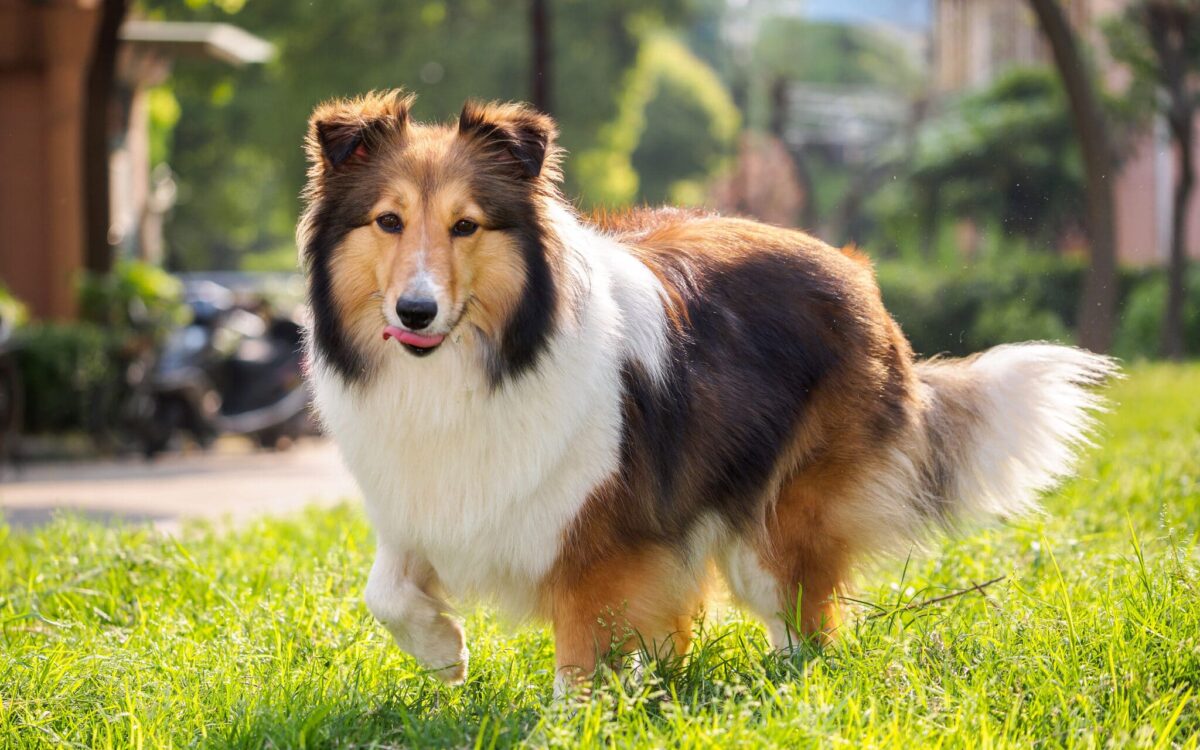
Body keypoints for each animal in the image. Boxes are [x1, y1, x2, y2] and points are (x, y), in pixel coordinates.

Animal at [297, 90, 1113, 691]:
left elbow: (580, 656)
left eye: (465, 226)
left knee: (804, 625)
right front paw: (445, 651)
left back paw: (786, 692)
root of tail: (858, 272)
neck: (484, 359)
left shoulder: (600, 540)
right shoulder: (426, 504)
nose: (415, 312)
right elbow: (385, 591)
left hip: (779, 524)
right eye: (389, 221)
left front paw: (573, 719)